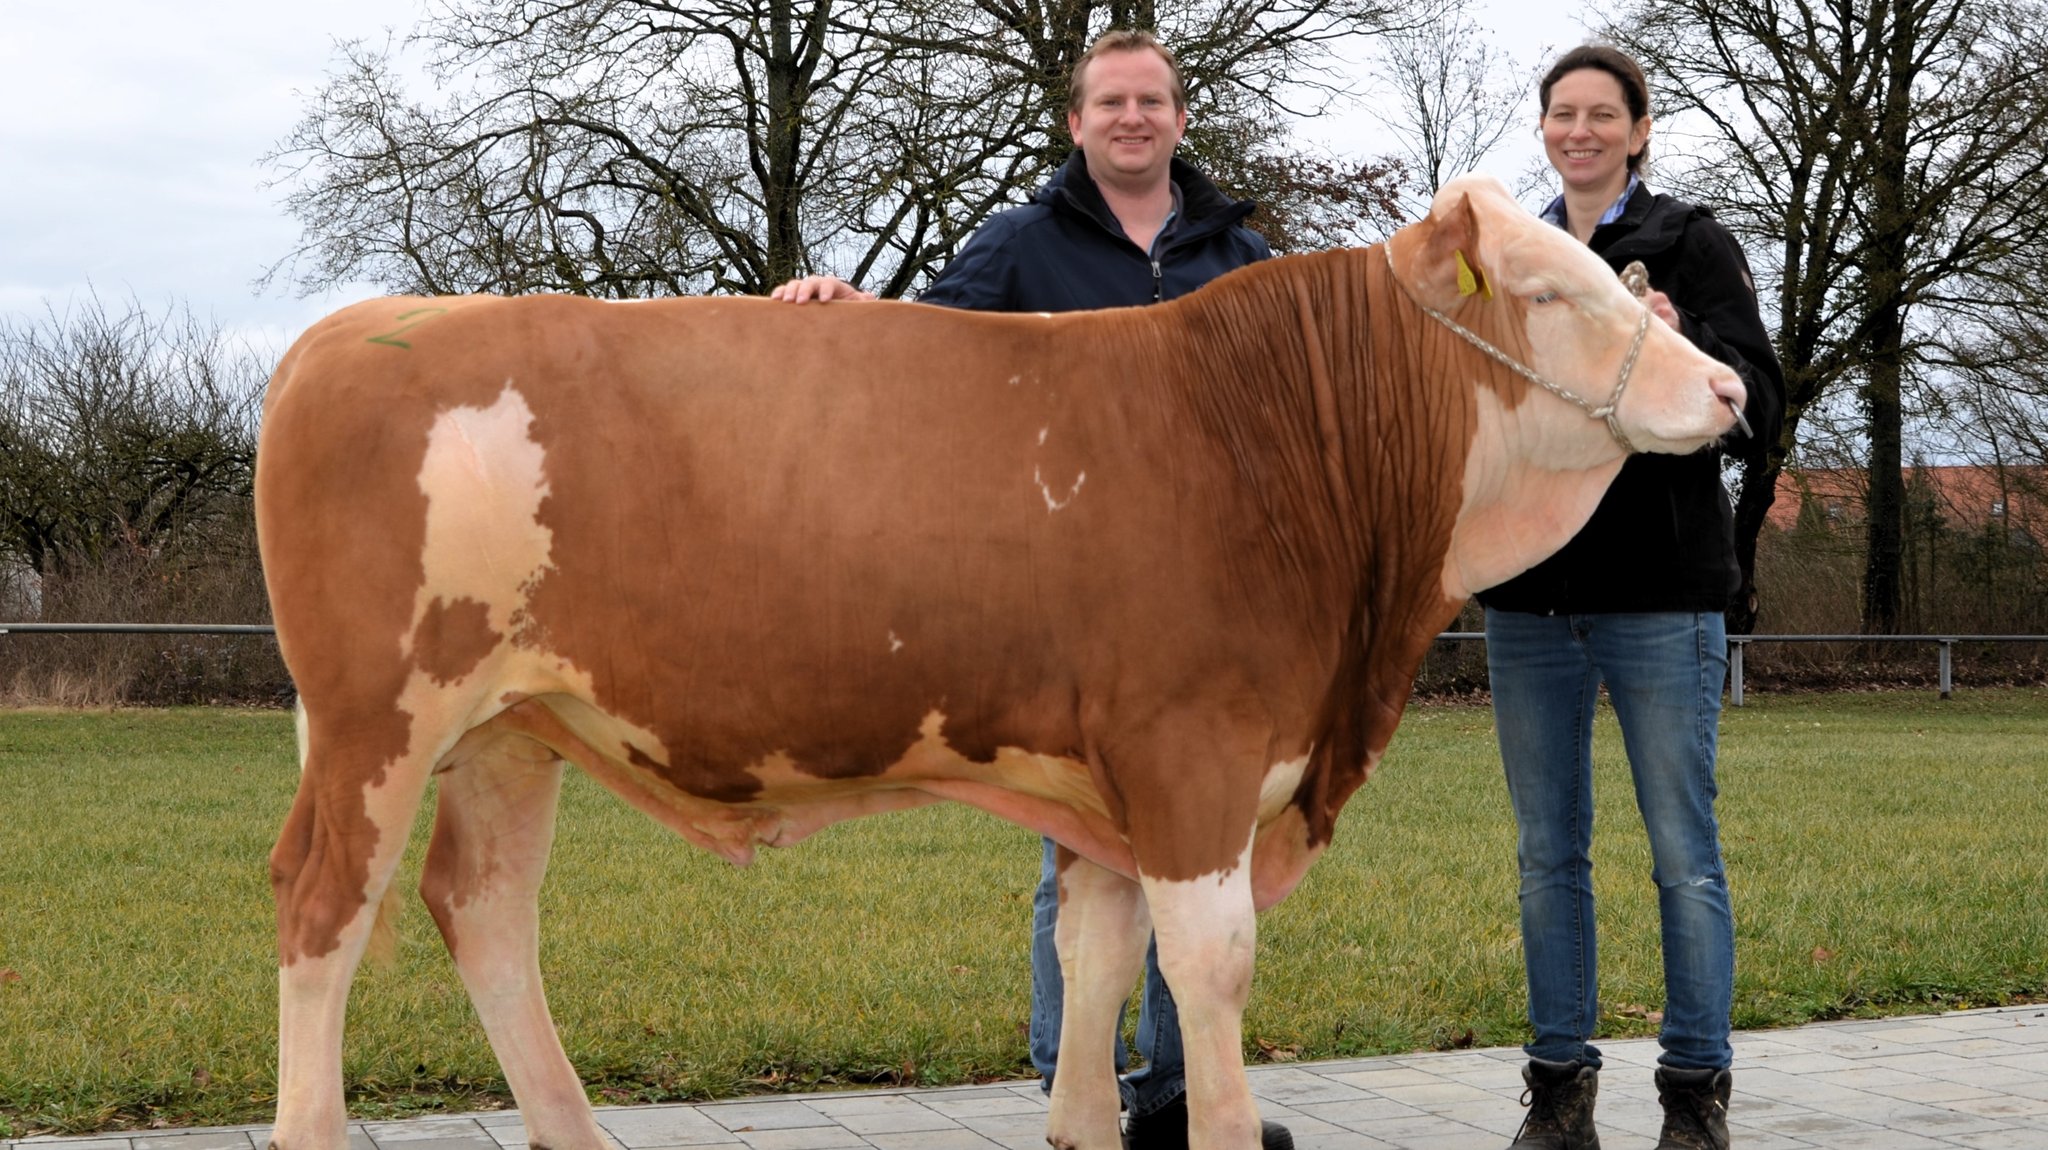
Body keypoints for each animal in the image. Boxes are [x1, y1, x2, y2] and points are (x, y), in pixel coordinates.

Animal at [256, 174, 1744, 1145]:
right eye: (1551, 289)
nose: (1730, 388)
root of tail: (352, 328)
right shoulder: (1192, 753)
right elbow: (1206, 967)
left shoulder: (1105, 777)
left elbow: (1097, 960)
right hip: (380, 719)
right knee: (326, 909)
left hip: (512, 726)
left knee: (485, 907)